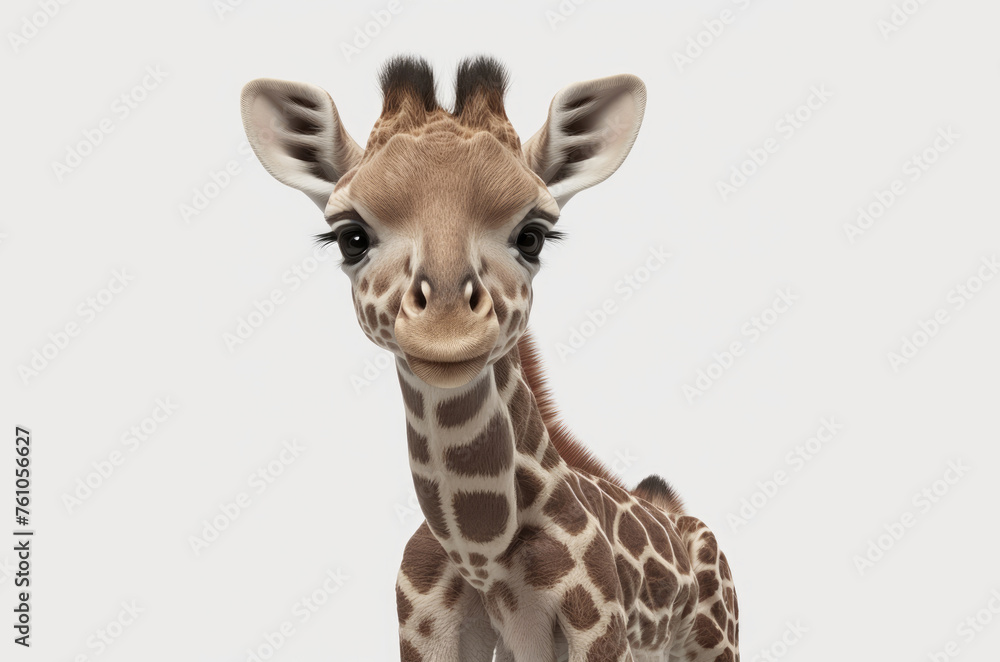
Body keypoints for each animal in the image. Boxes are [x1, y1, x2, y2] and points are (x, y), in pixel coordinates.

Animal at [240, 56, 739, 662]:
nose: (447, 329)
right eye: (350, 237)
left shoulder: (598, 625)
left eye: (533, 236)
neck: (483, 551)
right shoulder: (426, 622)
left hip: (714, 638)